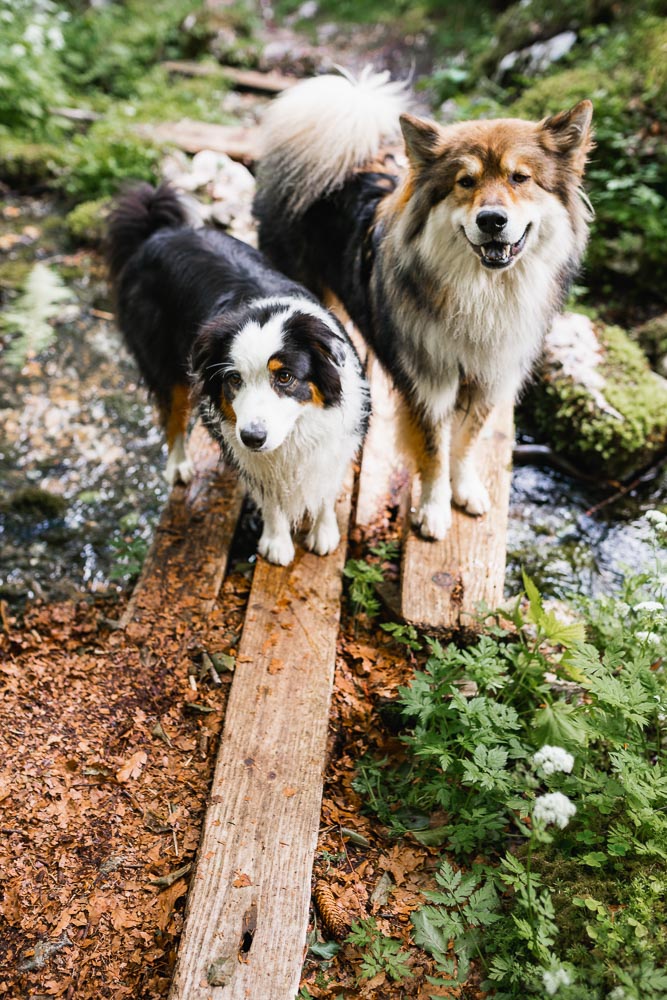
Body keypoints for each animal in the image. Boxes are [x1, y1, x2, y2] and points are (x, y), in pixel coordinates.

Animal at [107, 183, 374, 568]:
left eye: (285, 377)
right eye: (234, 380)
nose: (252, 437)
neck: (295, 432)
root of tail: (160, 231)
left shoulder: (337, 439)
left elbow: (325, 488)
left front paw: (323, 533)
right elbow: (271, 497)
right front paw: (276, 543)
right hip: (164, 362)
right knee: (172, 414)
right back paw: (178, 466)